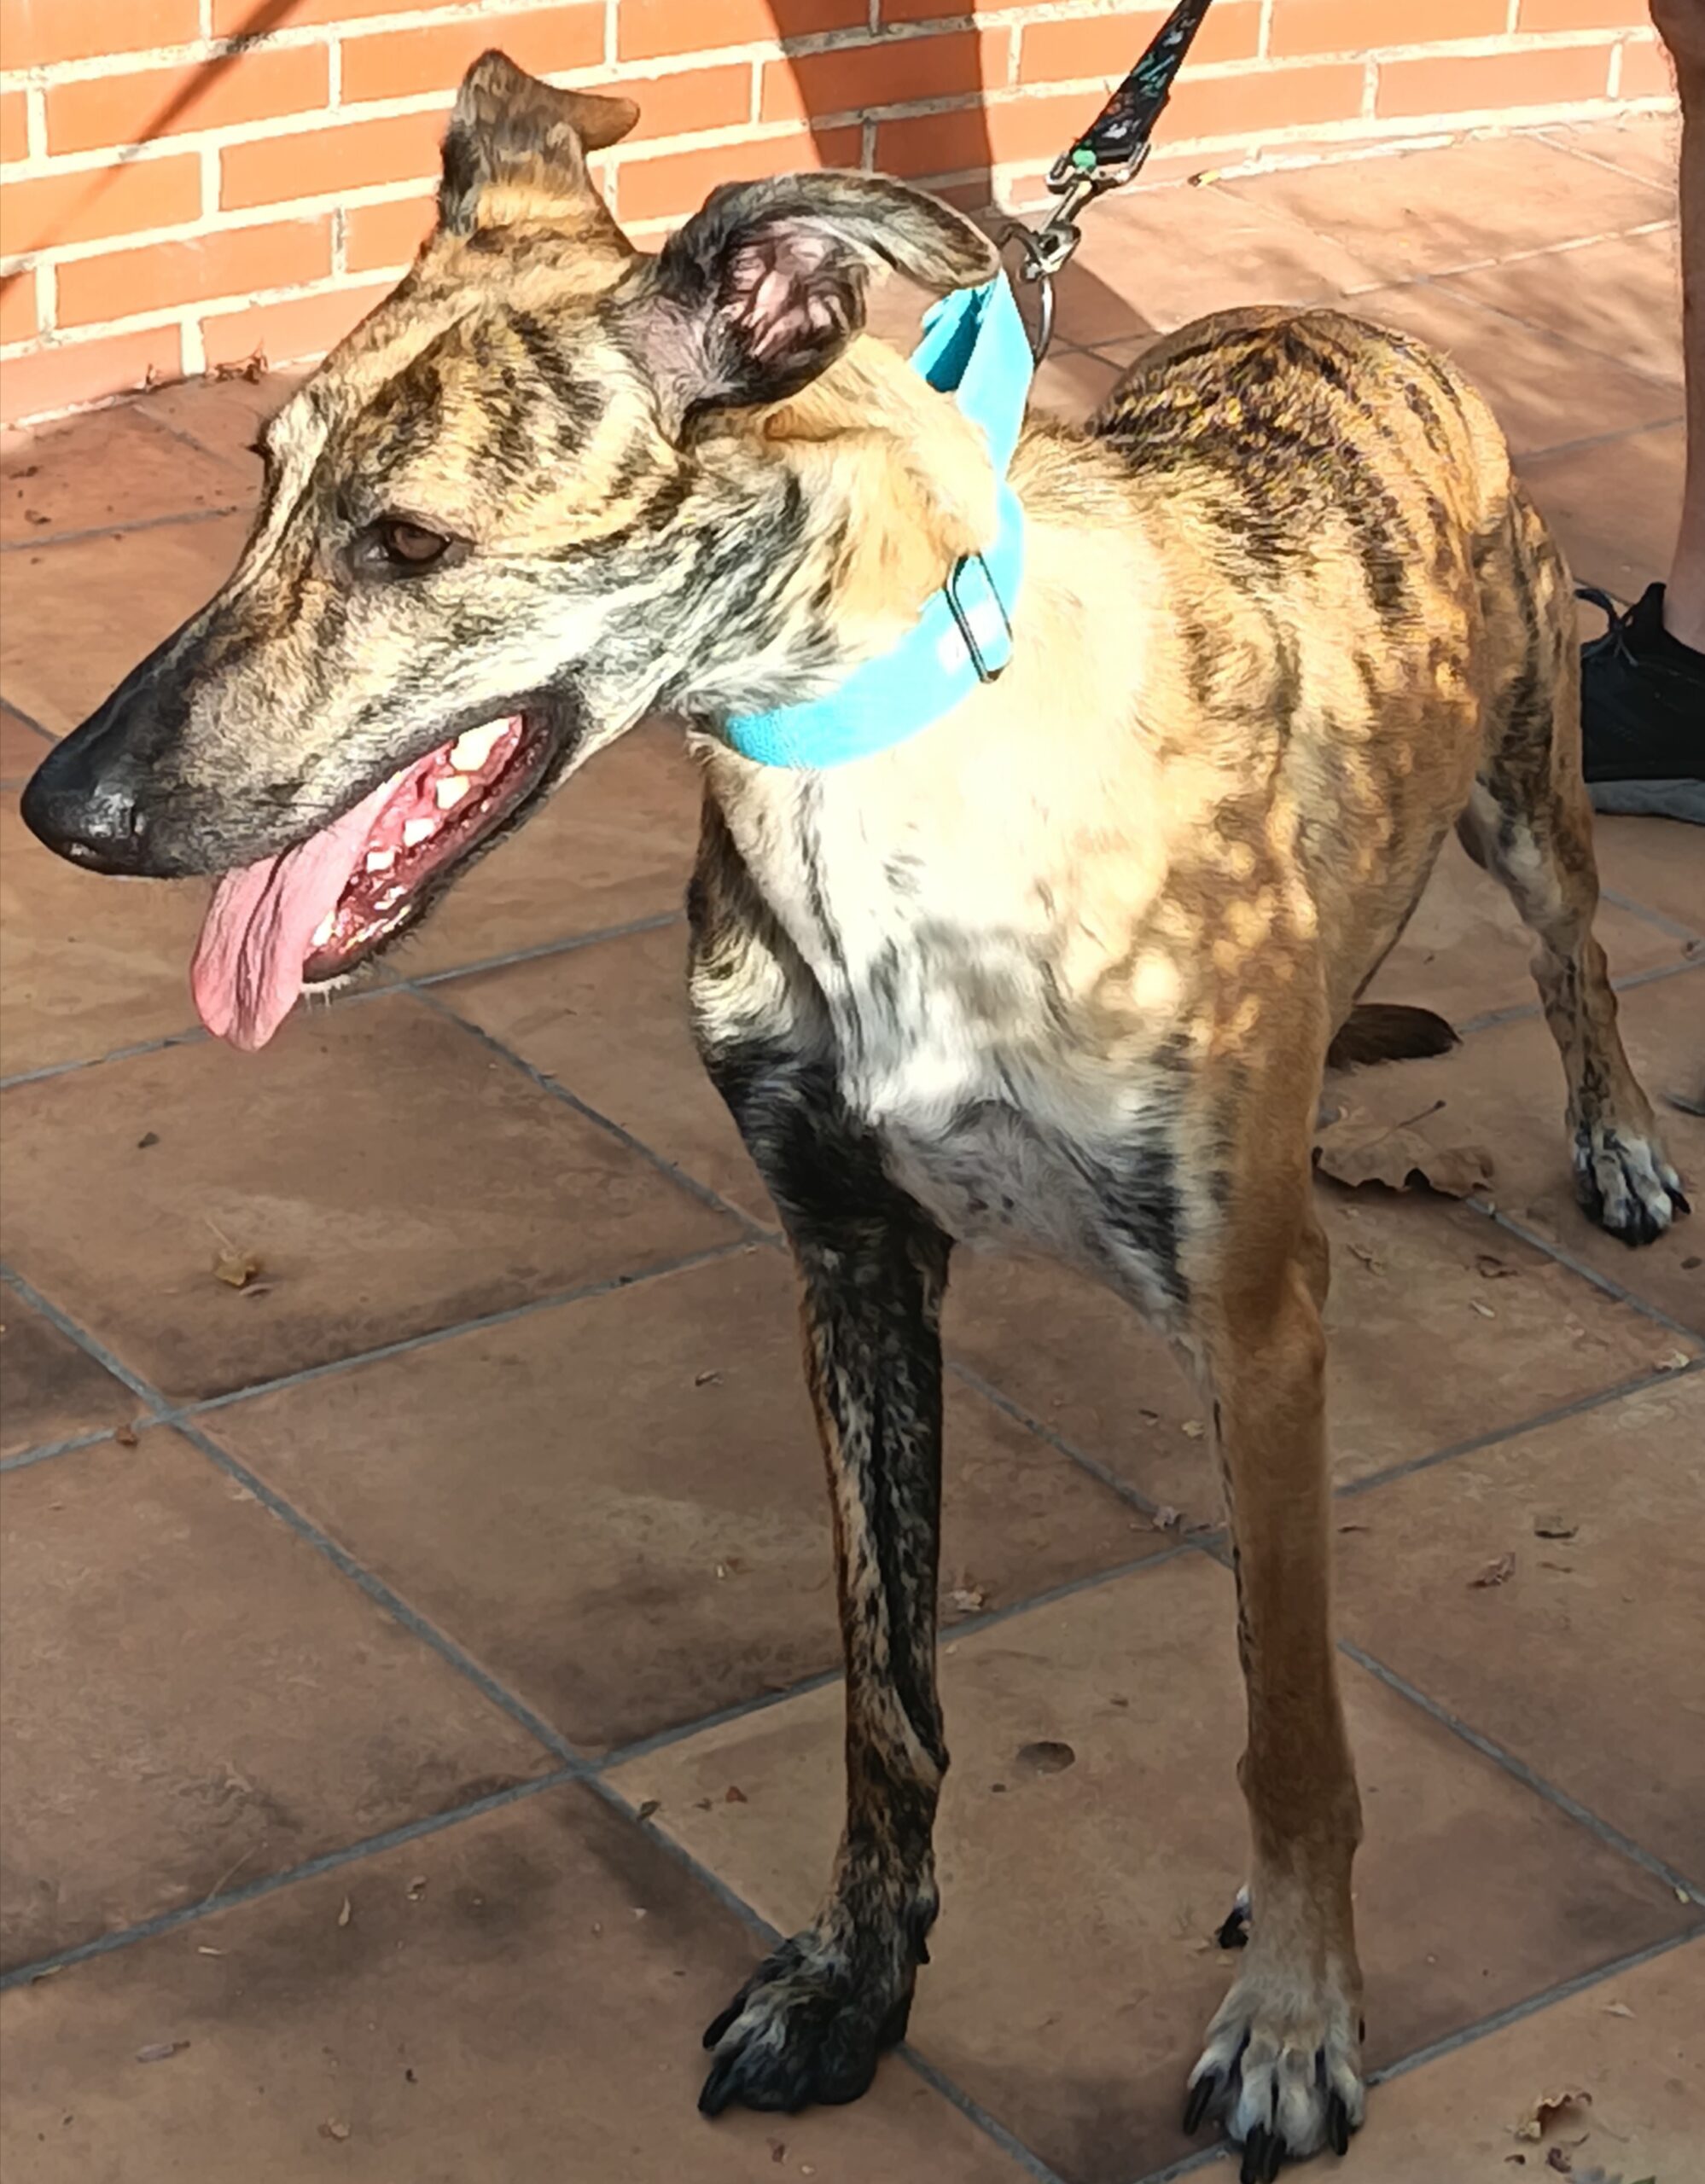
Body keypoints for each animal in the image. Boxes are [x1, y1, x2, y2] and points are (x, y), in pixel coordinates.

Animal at [22, 53, 1689, 2178]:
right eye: (261, 479)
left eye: (407, 542)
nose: (63, 809)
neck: (885, 756)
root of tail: (1337, 319)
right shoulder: (852, 1264)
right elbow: (882, 1694)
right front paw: (854, 1977)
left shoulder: (1257, 1325)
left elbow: (1290, 1717)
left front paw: (1298, 2011)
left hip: (1525, 786)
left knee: (1580, 958)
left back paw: (1622, 1134)